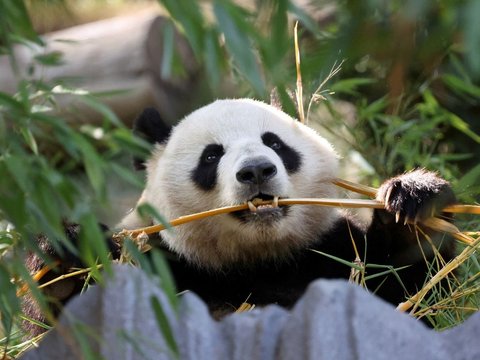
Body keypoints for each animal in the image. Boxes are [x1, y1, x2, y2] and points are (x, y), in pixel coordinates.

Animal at [118, 98, 456, 316]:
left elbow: (417, 291)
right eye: (211, 156)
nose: (256, 170)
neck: (259, 259)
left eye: (275, 144)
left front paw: (413, 199)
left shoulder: (333, 250)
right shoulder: (163, 258)